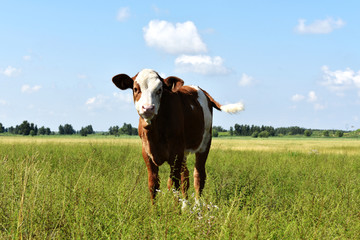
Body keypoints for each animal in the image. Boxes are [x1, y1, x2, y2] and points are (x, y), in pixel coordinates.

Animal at [111, 69, 243, 206]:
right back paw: (185, 205)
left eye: (159, 90)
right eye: (136, 89)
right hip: (183, 153)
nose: (148, 108)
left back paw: (197, 206)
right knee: (185, 176)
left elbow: (175, 185)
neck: (155, 132)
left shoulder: (176, 152)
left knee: (198, 175)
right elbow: (154, 185)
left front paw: (175, 211)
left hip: (204, 143)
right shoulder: (147, 153)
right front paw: (154, 210)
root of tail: (199, 89)